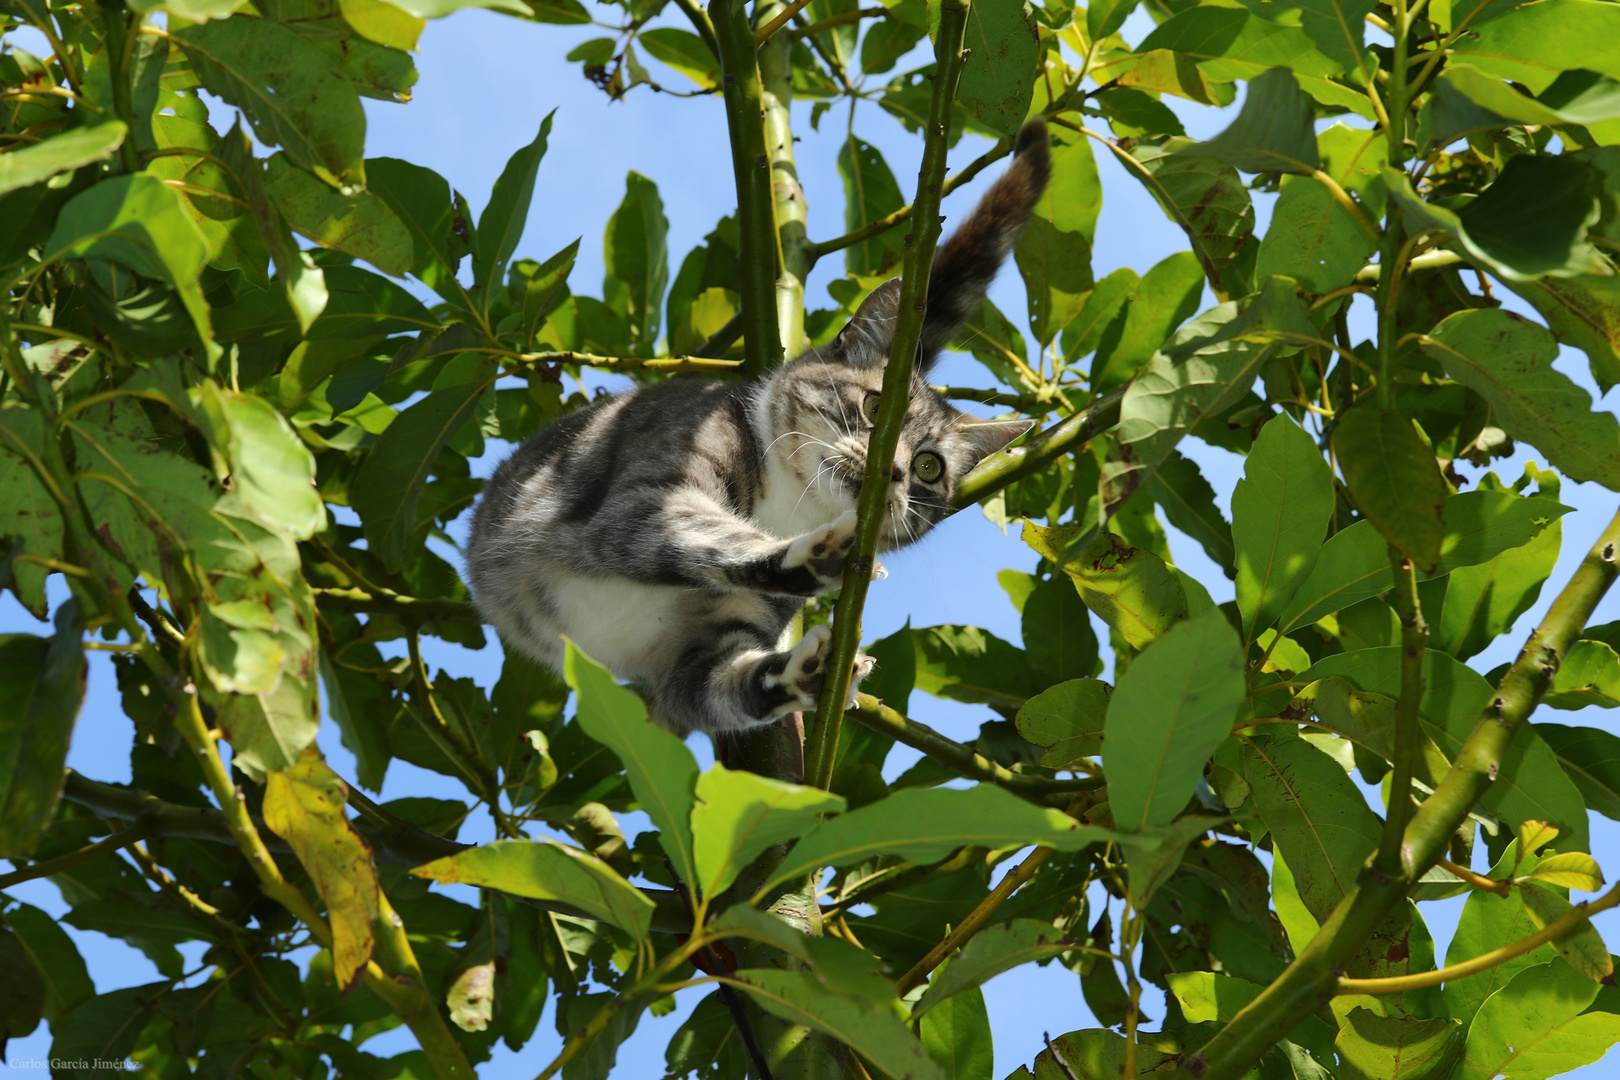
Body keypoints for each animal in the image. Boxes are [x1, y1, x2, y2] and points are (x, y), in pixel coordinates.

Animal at [466, 116, 1049, 735]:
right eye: (875, 409)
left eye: (929, 468)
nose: (893, 471)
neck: (789, 505)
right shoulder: (644, 494)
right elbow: (708, 534)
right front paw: (820, 555)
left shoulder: (694, 654)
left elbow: (726, 688)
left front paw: (805, 675)